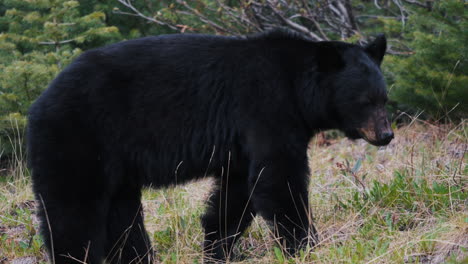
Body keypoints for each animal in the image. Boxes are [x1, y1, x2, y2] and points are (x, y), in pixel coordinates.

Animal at [27, 29, 394, 262]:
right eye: (365, 100)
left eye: (383, 97)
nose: (386, 135)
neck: (296, 87)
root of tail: (39, 101)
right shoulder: (266, 108)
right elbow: (279, 179)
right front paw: (304, 244)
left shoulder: (242, 143)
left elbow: (237, 193)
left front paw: (218, 246)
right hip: (79, 138)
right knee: (74, 210)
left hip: (114, 163)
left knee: (122, 215)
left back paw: (138, 258)